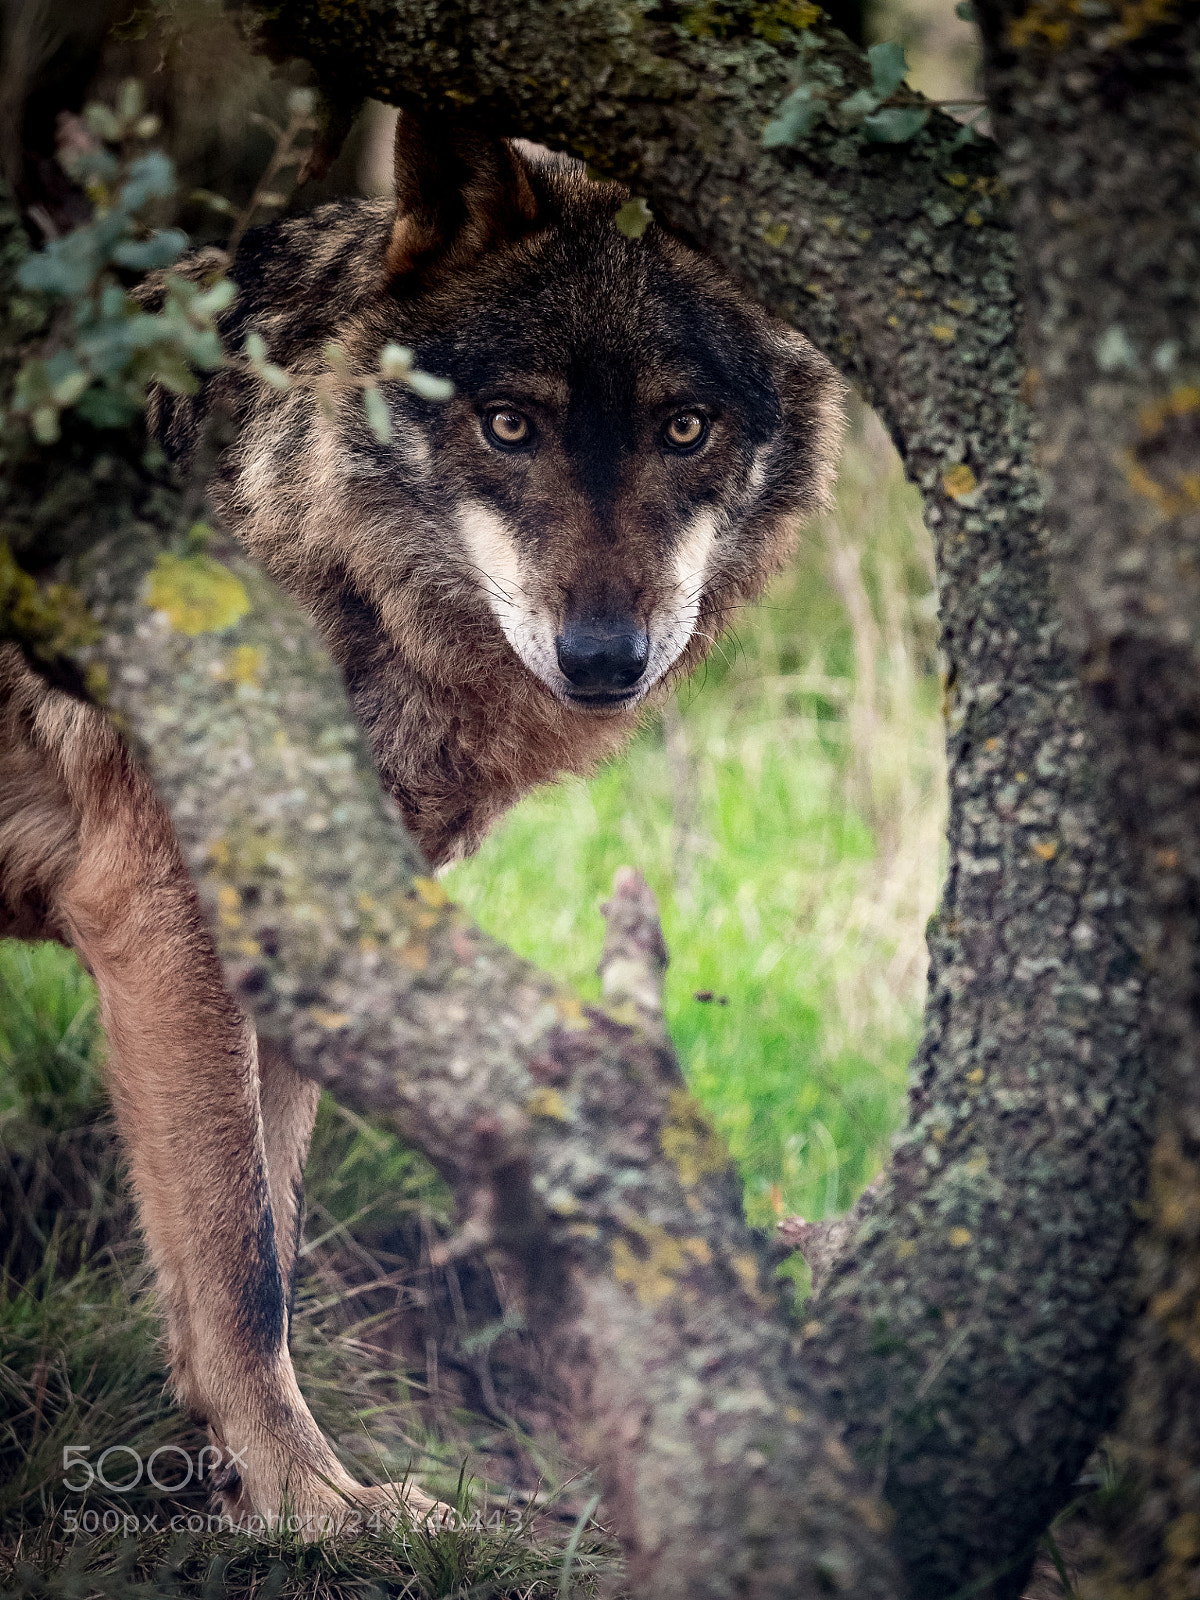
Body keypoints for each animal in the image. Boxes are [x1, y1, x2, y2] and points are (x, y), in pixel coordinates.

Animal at [0, 113, 842, 1531]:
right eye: (508, 424)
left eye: (685, 428)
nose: (604, 657)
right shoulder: (165, 924)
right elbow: (242, 1263)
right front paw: (305, 1507)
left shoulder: (308, 943)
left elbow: (269, 1243)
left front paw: (294, 1487)